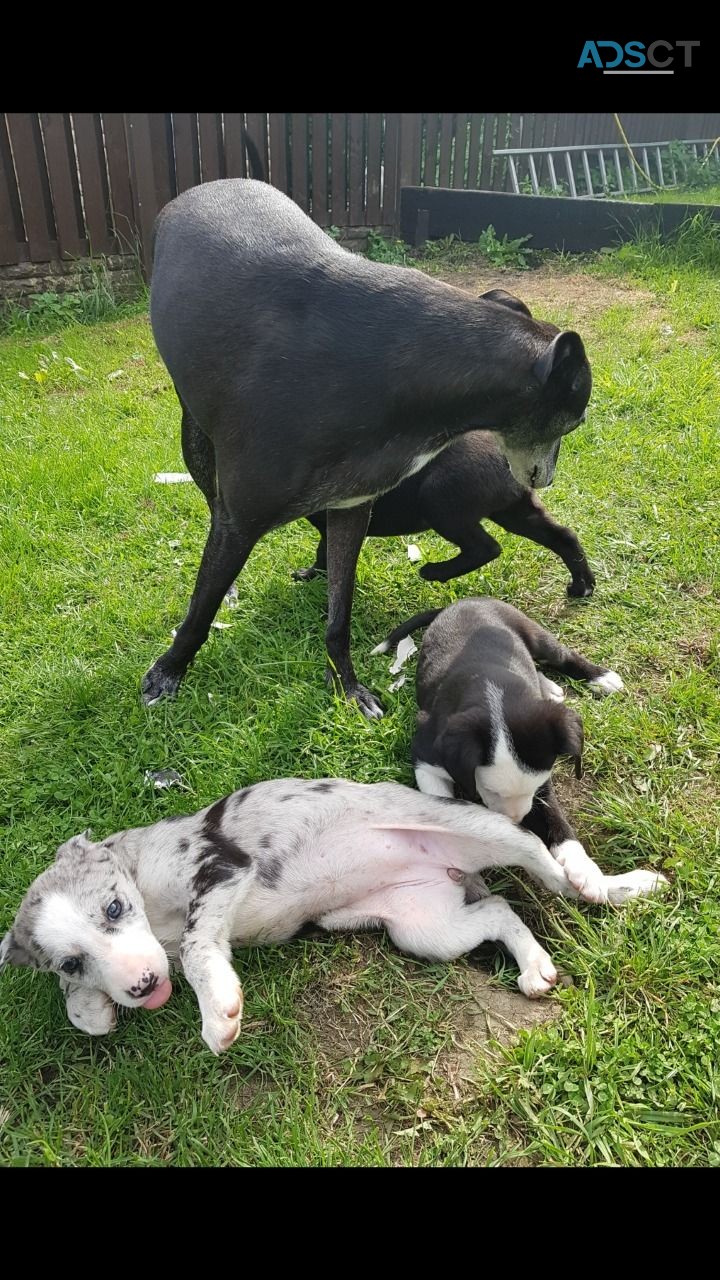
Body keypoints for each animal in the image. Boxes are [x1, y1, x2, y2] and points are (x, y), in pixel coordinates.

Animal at [144, 180, 589, 721]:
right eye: (577, 418)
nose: (546, 478)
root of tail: (201, 189)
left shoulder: (350, 510)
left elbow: (339, 614)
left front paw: (347, 685)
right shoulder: (241, 521)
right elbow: (200, 610)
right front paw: (169, 669)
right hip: (195, 440)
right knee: (210, 509)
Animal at [368, 596, 645, 906]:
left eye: (535, 788)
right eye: (491, 790)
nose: (518, 822)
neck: (494, 692)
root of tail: (466, 600)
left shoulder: (543, 782)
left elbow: (556, 817)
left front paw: (586, 870)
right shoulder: (425, 759)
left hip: (532, 633)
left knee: (562, 656)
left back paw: (599, 677)